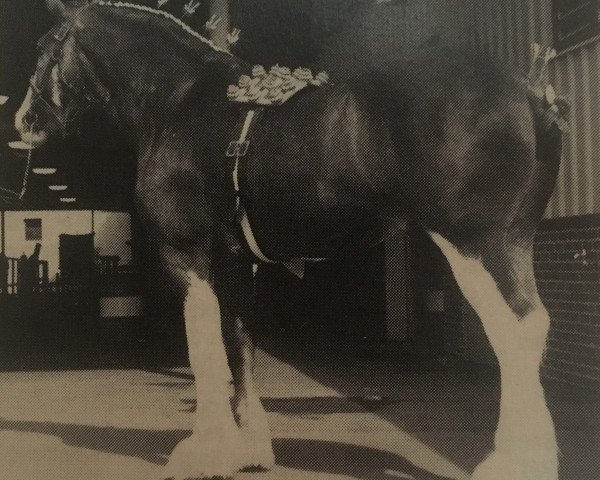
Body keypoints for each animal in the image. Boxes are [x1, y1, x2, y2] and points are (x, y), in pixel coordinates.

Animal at [14, 0, 564, 480]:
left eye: (44, 46)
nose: (24, 121)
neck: (178, 102)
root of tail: (528, 89)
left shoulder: (188, 254)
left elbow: (204, 346)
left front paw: (203, 451)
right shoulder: (237, 262)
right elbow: (239, 345)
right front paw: (249, 450)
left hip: (474, 244)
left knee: (513, 331)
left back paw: (509, 462)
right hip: (514, 241)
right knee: (534, 324)